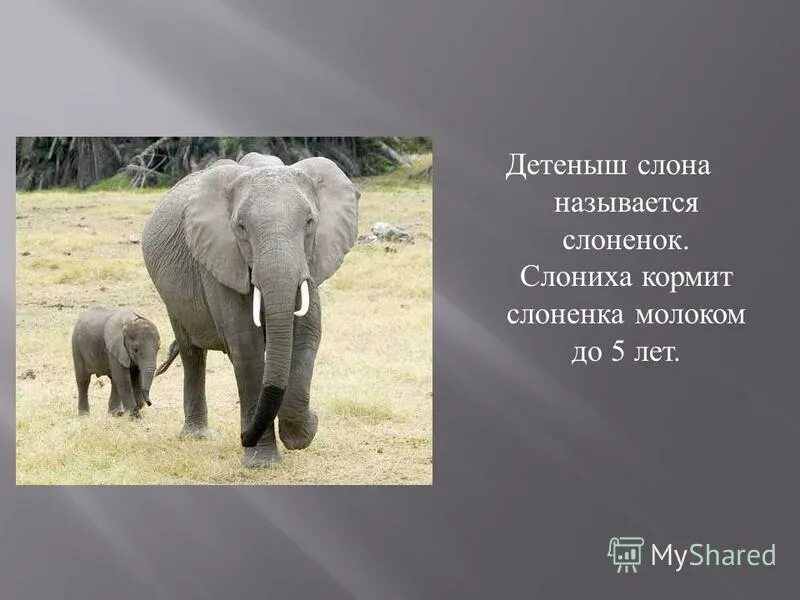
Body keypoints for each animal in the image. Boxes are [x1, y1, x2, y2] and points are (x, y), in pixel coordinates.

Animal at [141, 153, 359, 467]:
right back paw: (196, 435)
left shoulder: (311, 260)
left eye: (310, 222)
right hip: (172, 296)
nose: (244, 437)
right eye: (241, 227)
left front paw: (304, 433)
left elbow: (306, 337)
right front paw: (262, 462)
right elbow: (247, 349)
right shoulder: (221, 259)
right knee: (191, 353)